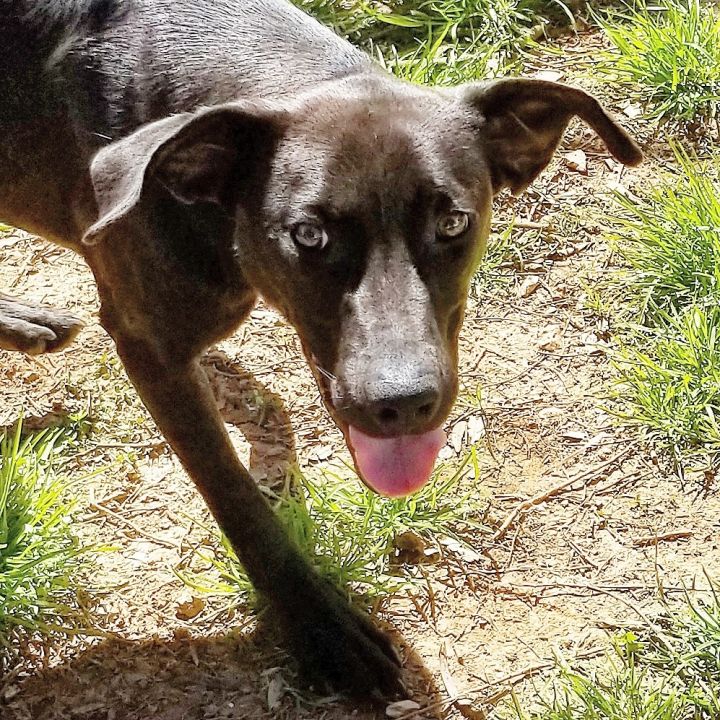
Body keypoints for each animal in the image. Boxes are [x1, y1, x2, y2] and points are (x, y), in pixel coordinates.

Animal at [0, 0, 640, 700]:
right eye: (308, 234)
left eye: (452, 223)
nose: (404, 403)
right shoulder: (149, 344)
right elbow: (238, 499)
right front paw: (322, 629)